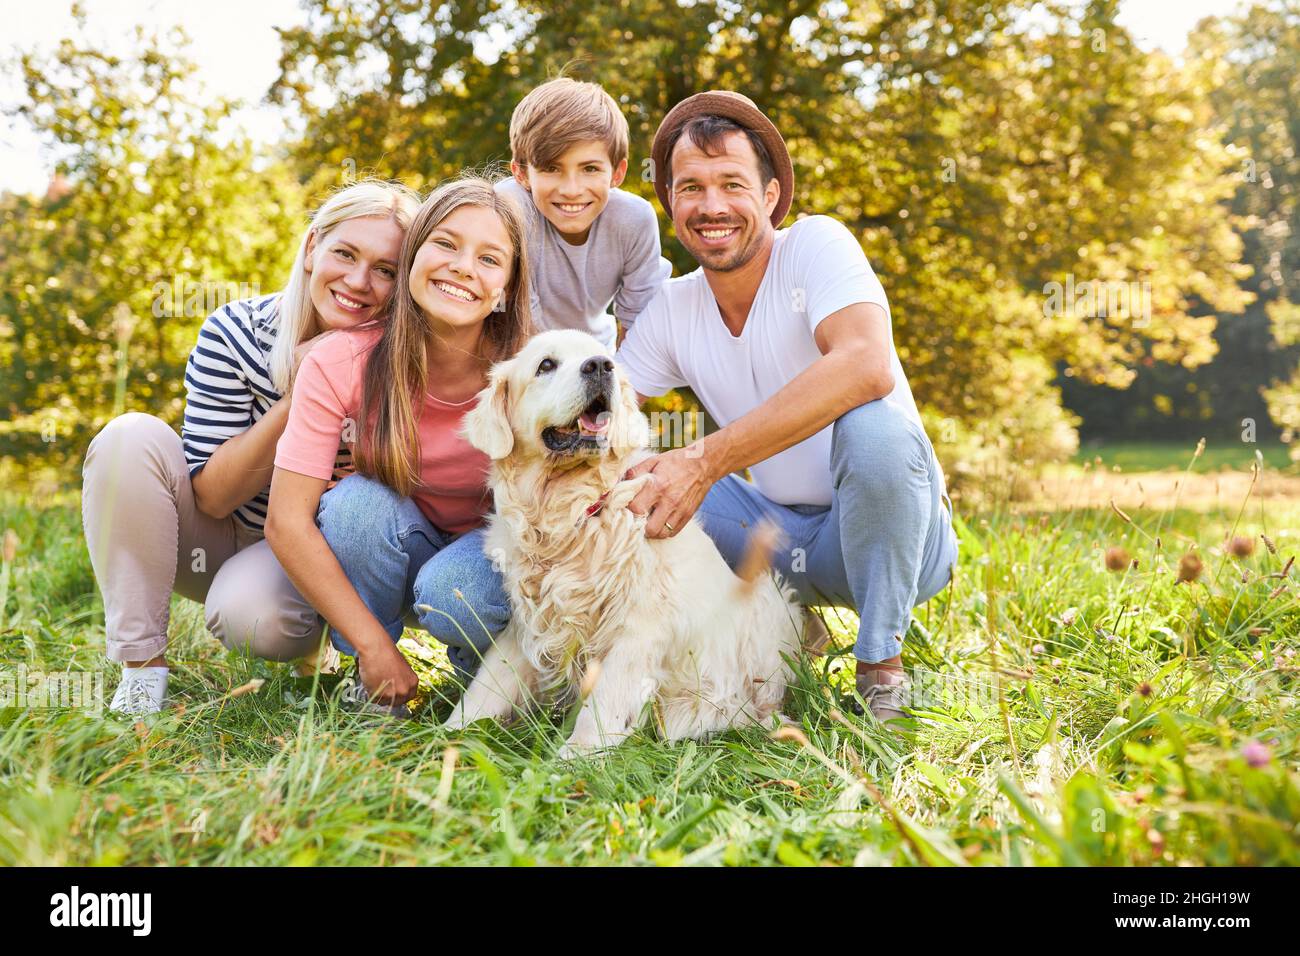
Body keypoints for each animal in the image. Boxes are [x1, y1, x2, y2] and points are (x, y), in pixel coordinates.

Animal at [452, 329, 806, 754]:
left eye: (604, 360)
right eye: (546, 365)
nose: (599, 367)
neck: (573, 513)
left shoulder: (638, 624)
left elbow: (606, 698)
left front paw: (578, 754)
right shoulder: (527, 620)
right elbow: (485, 686)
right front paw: (445, 738)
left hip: (773, 602)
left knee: (755, 701)